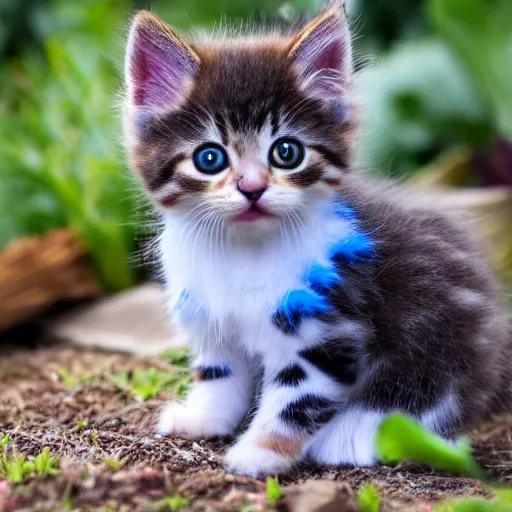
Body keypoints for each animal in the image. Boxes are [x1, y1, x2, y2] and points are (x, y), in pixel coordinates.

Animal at [122, 0, 510, 476]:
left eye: (286, 152)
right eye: (209, 158)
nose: (253, 188)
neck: (242, 250)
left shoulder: (328, 329)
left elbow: (295, 400)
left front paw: (260, 453)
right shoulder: (211, 318)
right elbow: (219, 374)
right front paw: (204, 419)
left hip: (438, 344)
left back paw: (352, 435)